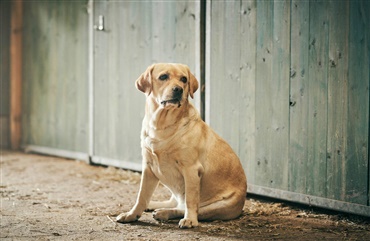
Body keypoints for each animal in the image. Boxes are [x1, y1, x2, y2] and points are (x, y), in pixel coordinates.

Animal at [117, 63, 247, 228]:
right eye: (163, 77)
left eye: (184, 79)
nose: (178, 89)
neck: (161, 126)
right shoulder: (148, 167)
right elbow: (141, 196)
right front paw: (131, 215)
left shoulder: (191, 169)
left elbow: (191, 200)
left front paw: (189, 219)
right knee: (174, 202)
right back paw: (154, 205)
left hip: (221, 205)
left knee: (188, 208)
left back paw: (164, 213)